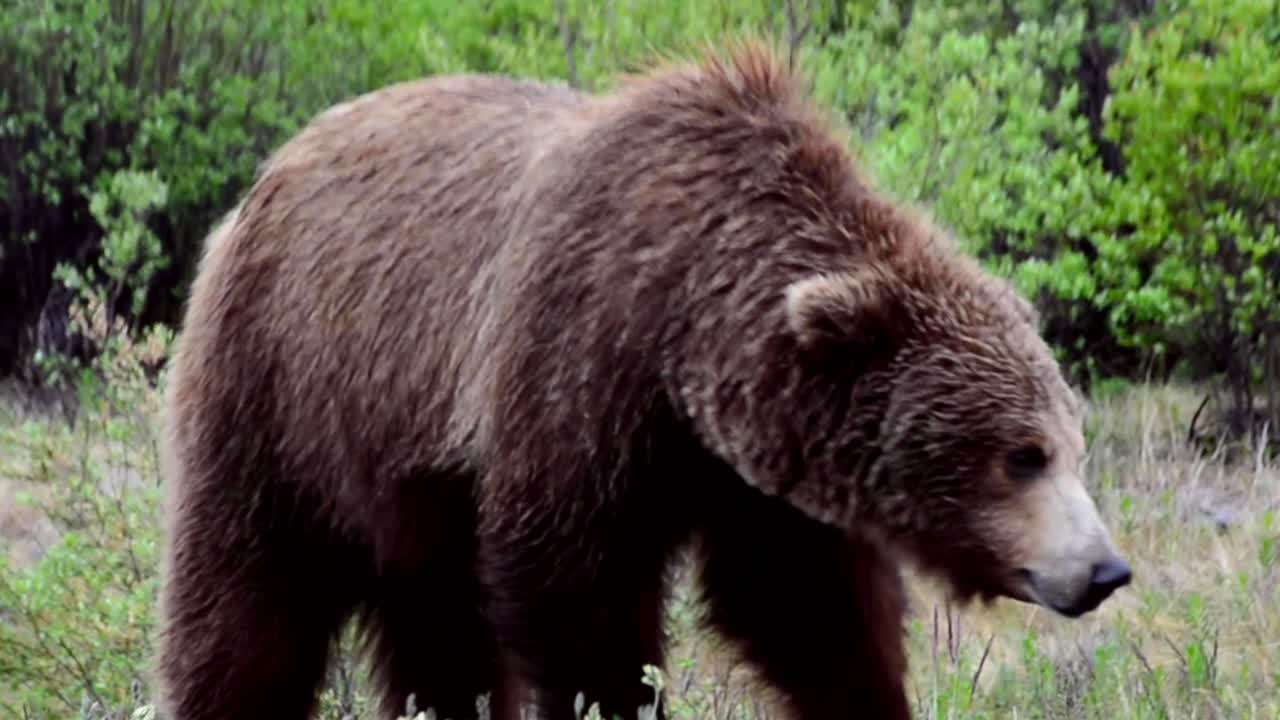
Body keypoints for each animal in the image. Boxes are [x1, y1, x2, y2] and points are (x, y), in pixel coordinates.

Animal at [154, 42, 1131, 720]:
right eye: (1022, 454)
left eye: (1074, 444)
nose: (1105, 568)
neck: (684, 334)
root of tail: (262, 179)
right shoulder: (574, 365)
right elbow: (576, 596)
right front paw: (619, 698)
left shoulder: (754, 467)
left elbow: (805, 610)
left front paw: (869, 693)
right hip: (286, 390)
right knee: (246, 609)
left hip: (410, 490)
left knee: (438, 634)